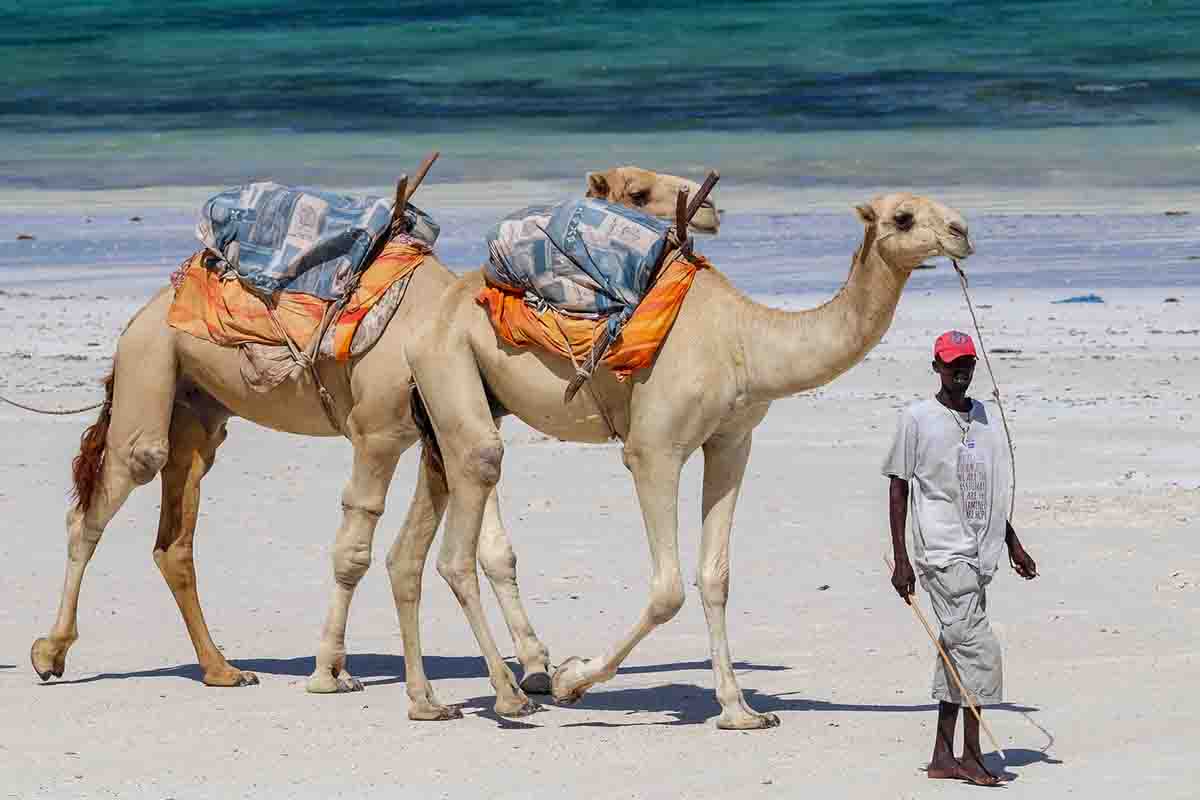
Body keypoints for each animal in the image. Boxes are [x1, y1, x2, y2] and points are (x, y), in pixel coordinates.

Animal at [30, 165, 720, 714]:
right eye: (639, 190)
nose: (710, 206)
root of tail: (145, 312)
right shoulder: (379, 432)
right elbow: (354, 548)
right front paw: (329, 672)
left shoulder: (447, 426)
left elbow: (490, 546)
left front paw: (535, 667)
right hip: (150, 375)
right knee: (95, 507)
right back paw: (50, 653)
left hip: (199, 411)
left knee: (174, 540)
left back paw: (223, 670)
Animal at [405, 191, 974, 724]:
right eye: (903, 217)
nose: (962, 230)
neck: (745, 342)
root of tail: (441, 307)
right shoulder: (653, 449)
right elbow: (668, 590)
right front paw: (573, 678)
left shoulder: (731, 442)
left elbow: (715, 577)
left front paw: (740, 711)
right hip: (447, 358)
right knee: (462, 526)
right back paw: (509, 695)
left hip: (478, 395)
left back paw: (477, 687)